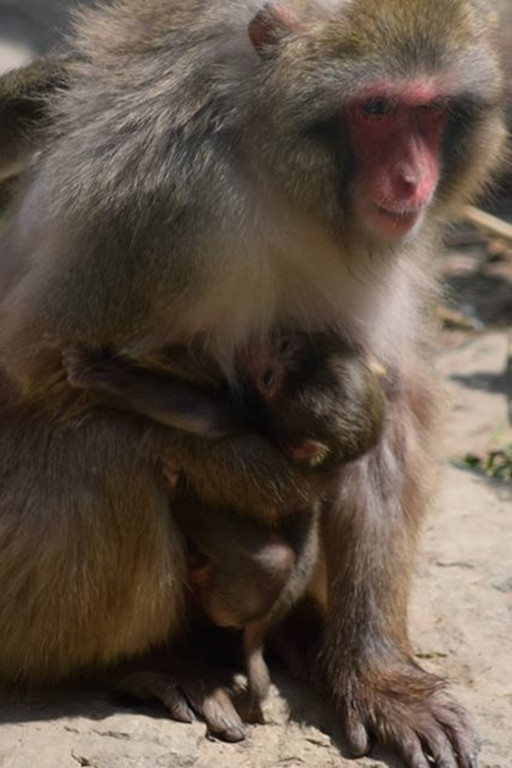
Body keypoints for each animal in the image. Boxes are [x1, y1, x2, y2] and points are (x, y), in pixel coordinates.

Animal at [64, 332, 384, 716]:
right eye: (290, 349)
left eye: (268, 378)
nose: (279, 341)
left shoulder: (254, 417)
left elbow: (212, 419)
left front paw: (103, 376)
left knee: (271, 561)